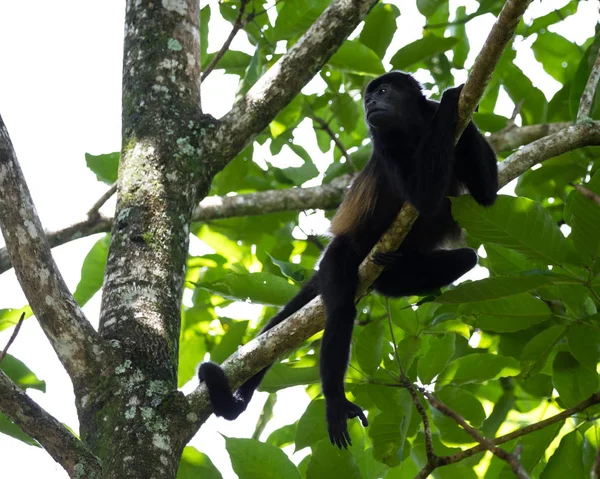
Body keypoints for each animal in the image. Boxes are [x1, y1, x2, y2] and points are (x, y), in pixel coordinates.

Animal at [199, 71, 500, 450]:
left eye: (383, 92)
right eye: (368, 98)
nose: (371, 104)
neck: (413, 127)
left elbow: (486, 193)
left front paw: (461, 95)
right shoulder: (385, 144)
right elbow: (422, 197)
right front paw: (450, 99)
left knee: (466, 258)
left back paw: (394, 271)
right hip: (339, 255)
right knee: (341, 309)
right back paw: (336, 401)